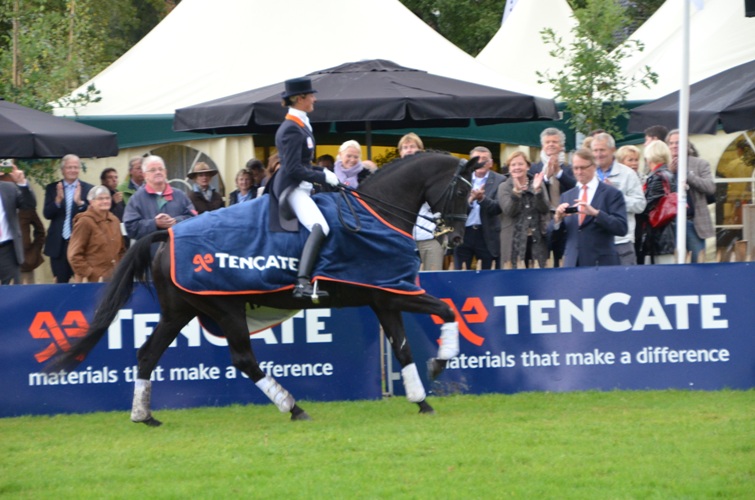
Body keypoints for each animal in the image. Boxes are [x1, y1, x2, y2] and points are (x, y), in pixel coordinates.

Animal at [45, 153, 478, 426]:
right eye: (462, 191)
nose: (456, 240)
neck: (379, 213)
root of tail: (165, 233)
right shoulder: (395, 293)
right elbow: (447, 310)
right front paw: (440, 364)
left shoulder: (384, 297)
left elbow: (403, 348)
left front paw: (422, 401)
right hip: (225, 310)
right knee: (243, 359)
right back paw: (294, 407)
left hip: (179, 311)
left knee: (148, 353)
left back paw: (145, 416)